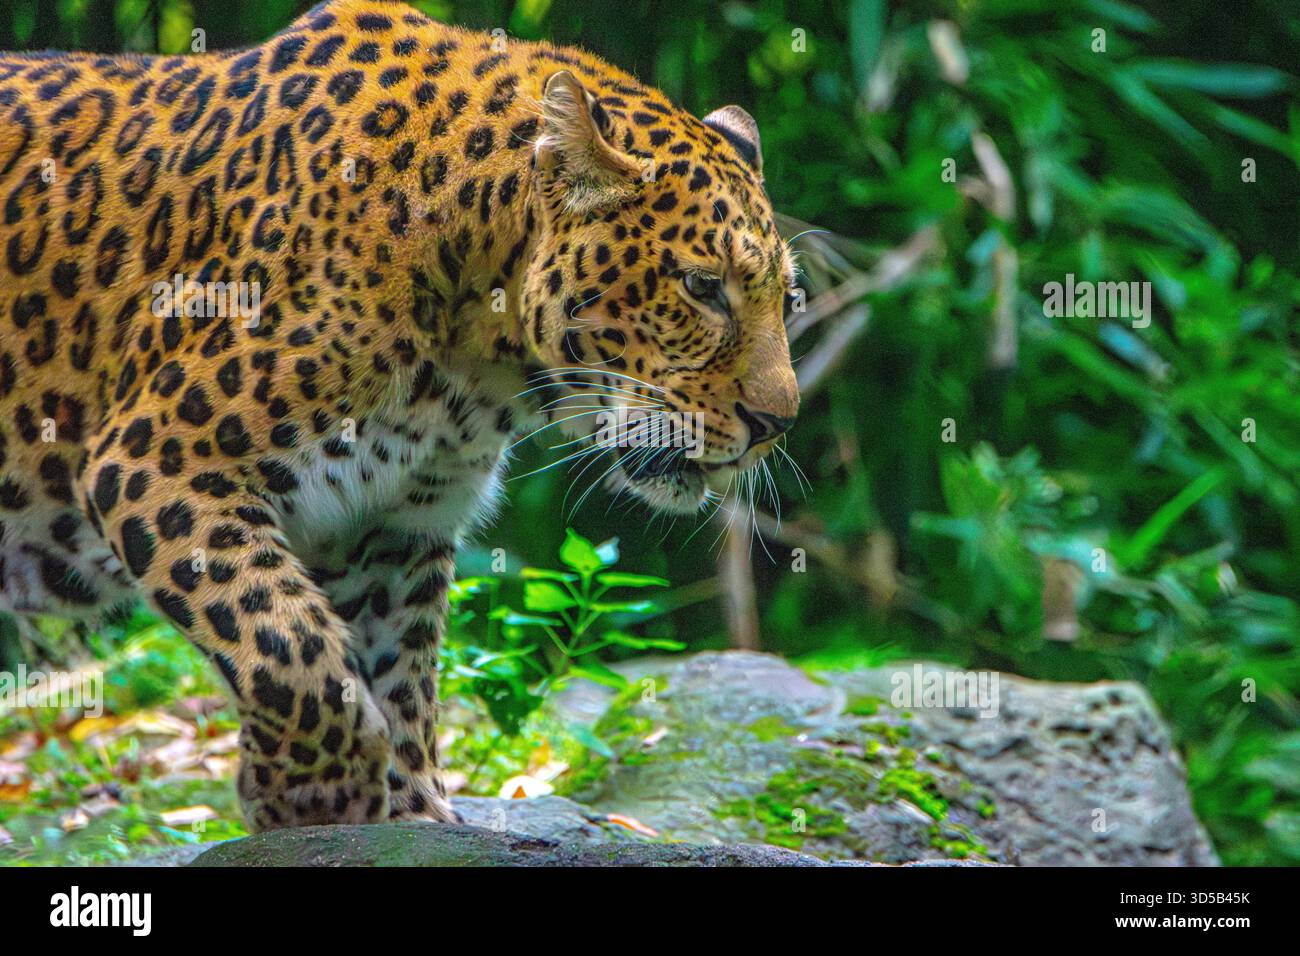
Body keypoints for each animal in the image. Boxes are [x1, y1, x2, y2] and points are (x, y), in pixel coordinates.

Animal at [0, 0, 800, 830]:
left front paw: (406, 814)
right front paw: (312, 795)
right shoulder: (152, 462)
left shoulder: (392, 526)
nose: (777, 422)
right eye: (702, 287)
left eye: (788, 297)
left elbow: (395, 672)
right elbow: (287, 642)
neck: (473, 362)